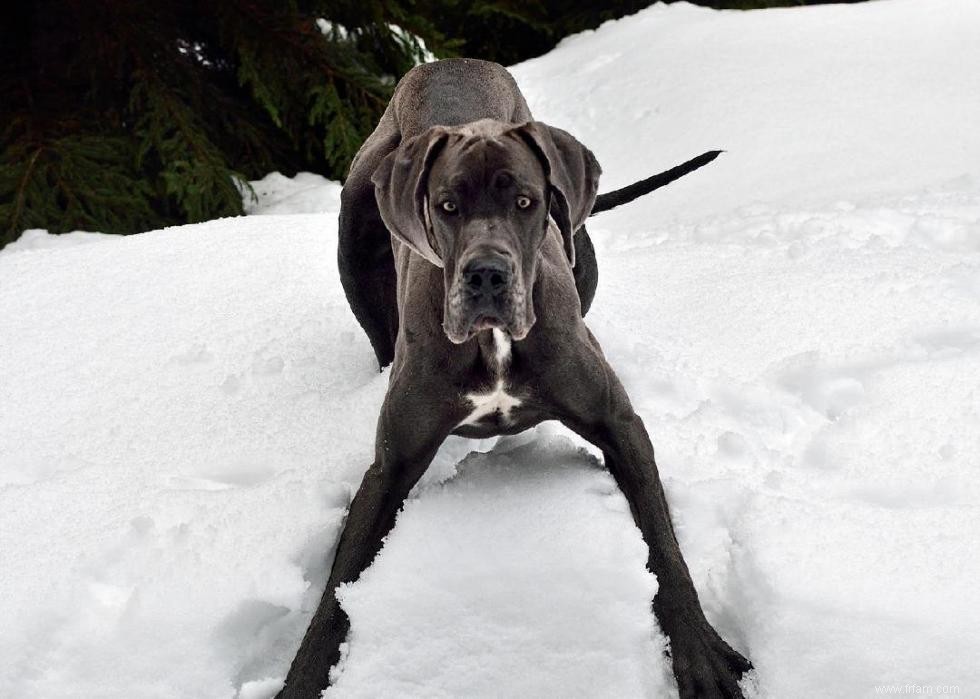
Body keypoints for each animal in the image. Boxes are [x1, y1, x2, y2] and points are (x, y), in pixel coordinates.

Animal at [280, 57, 756, 696]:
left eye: (527, 202)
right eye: (447, 205)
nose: (486, 275)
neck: (494, 345)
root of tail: (449, 62)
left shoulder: (620, 425)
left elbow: (665, 550)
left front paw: (699, 656)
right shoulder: (390, 467)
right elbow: (335, 590)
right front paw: (302, 678)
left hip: (582, 252)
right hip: (352, 231)